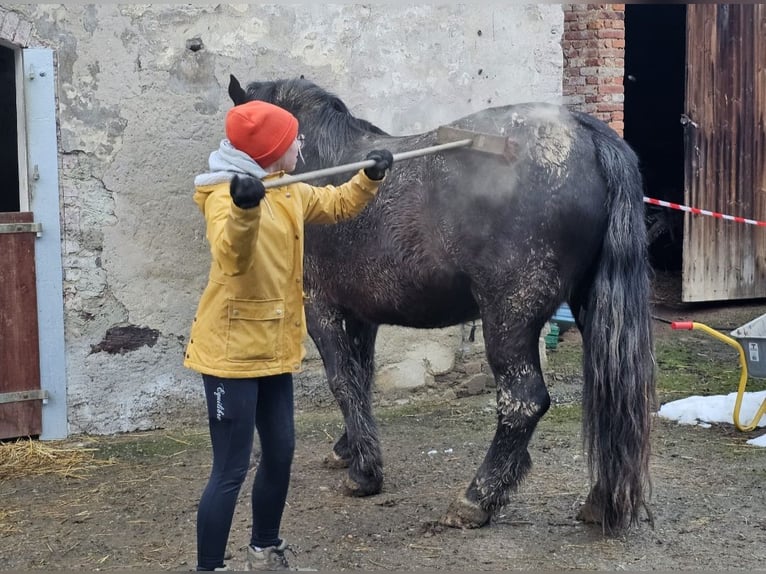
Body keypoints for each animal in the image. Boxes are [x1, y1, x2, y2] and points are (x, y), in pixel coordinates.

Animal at [227, 74, 656, 535]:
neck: (318, 166)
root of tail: (583, 132)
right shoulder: (362, 316)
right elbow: (362, 378)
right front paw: (349, 449)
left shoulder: (323, 308)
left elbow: (343, 381)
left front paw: (364, 472)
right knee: (610, 396)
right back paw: (601, 501)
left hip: (508, 316)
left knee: (523, 401)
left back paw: (477, 498)